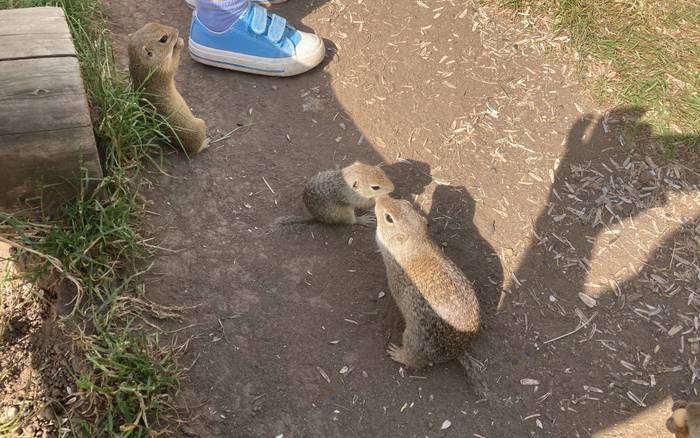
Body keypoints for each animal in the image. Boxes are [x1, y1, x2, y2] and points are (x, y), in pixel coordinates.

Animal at [129, 23, 209, 156]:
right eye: (163, 39)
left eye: (149, 23)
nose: (176, 30)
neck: (143, 65)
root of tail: (188, 149)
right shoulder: (165, 68)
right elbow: (174, 62)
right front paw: (180, 42)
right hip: (201, 124)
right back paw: (205, 143)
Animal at [372, 196, 482, 370]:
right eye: (405, 202)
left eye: (388, 218)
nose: (379, 198)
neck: (417, 245)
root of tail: (458, 351)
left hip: (415, 340)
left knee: (415, 360)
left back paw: (398, 354)